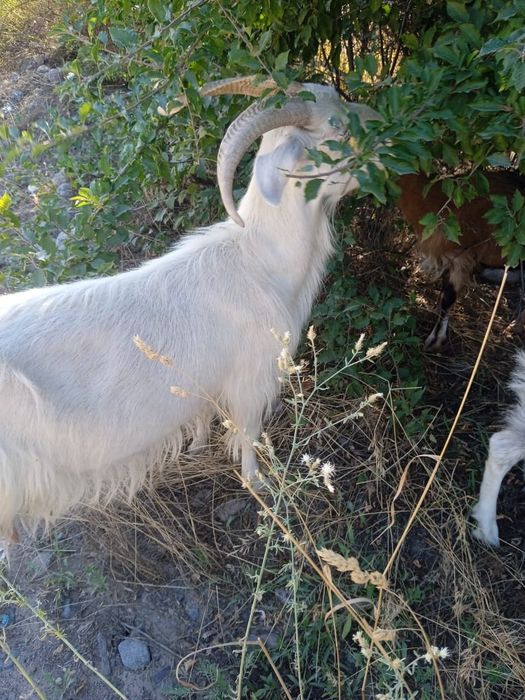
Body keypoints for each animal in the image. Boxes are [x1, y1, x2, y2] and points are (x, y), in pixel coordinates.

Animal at [0, 76, 379, 539]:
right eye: (336, 128)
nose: (386, 130)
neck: (257, 261)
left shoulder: (207, 381)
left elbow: (202, 414)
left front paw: (197, 445)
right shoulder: (252, 380)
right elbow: (248, 436)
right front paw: (259, 485)